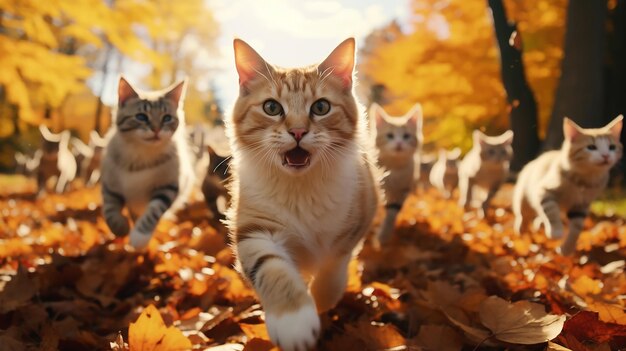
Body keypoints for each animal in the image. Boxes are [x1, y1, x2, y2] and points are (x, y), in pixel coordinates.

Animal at [101, 77, 194, 249]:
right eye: (141, 117)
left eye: (167, 118)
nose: (156, 130)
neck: (141, 155)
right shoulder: (110, 185)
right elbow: (109, 211)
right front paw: (121, 228)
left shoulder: (167, 186)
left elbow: (153, 212)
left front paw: (139, 236)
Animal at [227, 39, 378, 351]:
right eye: (271, 107)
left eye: (321, 107)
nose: (297, 131)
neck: (300, 189)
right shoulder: (255, 227)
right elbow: (271, 267)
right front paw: (294, 320)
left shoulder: (358, 216)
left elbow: (334, 264)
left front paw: (321, 298)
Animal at [370, 102, 420, 245]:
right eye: (390, 135)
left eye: (406, 136)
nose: (399, 143)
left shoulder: (402, 189)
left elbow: (392, 212)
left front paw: (383, 236)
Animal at [512, 115, 620, 256]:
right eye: (591, 147)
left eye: (612, 147)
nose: (606, 155)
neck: (584, 181)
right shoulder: (544, 191)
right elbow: (551, 211)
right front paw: (556, 232)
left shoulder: (581, 205)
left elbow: (576, 228)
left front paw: (567, 248)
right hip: (524, 195)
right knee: (524, 213)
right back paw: (522, 229)